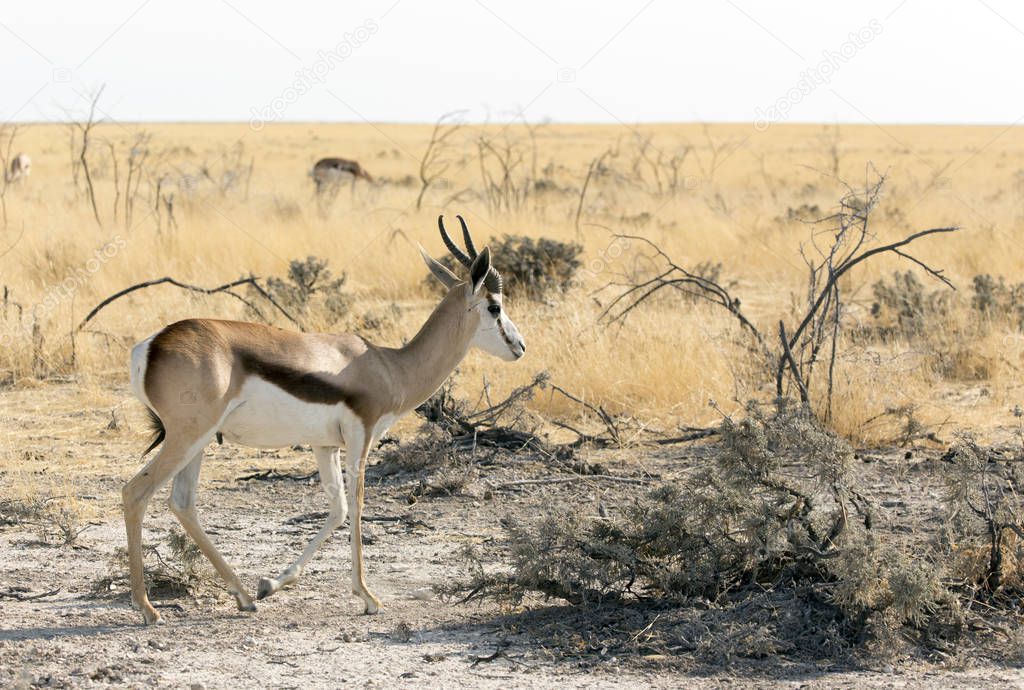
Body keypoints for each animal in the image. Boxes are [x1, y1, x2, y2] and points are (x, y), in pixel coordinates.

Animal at [122, 214, 524, 622]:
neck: (391, 366)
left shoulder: (325, 444)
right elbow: (358, 504)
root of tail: (150, 346)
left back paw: (245, 596)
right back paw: (148, 608)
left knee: (182, 502)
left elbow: (338, 509)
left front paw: (271, 584)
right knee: (135, 492)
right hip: (186, 437)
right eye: (495, 306)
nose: (520, 346)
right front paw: (368, 597)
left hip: (200, 442)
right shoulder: (362, 435)